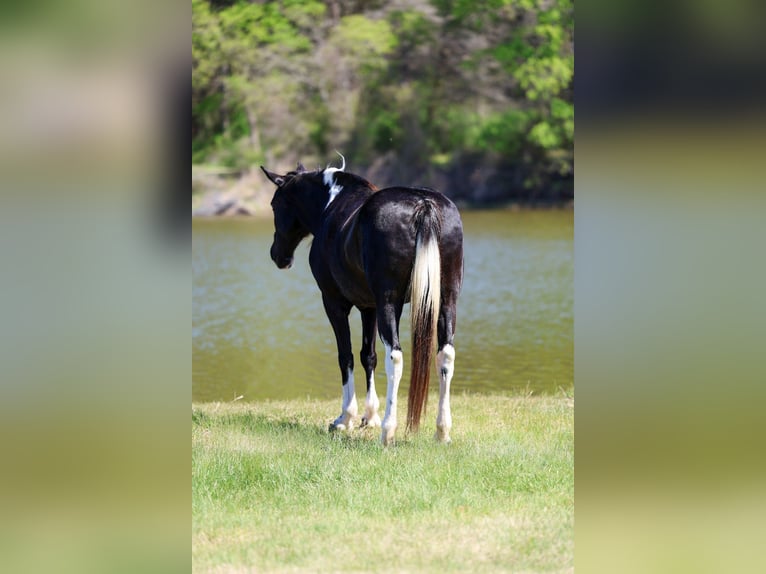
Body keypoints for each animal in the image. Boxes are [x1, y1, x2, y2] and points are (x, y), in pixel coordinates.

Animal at [261, 156, 463, 445]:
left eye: (275, 204)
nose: (278, 255)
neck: (332, 205)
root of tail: (423, 204)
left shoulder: (334, 303)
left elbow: (345, 355)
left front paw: (345, 418)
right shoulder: (370, 307)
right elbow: (368, 355)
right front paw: (369, 416)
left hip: (388, 303)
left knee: (395, 358)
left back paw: (388, 431)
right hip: (446, 301)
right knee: (445, 355)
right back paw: (442, 432)